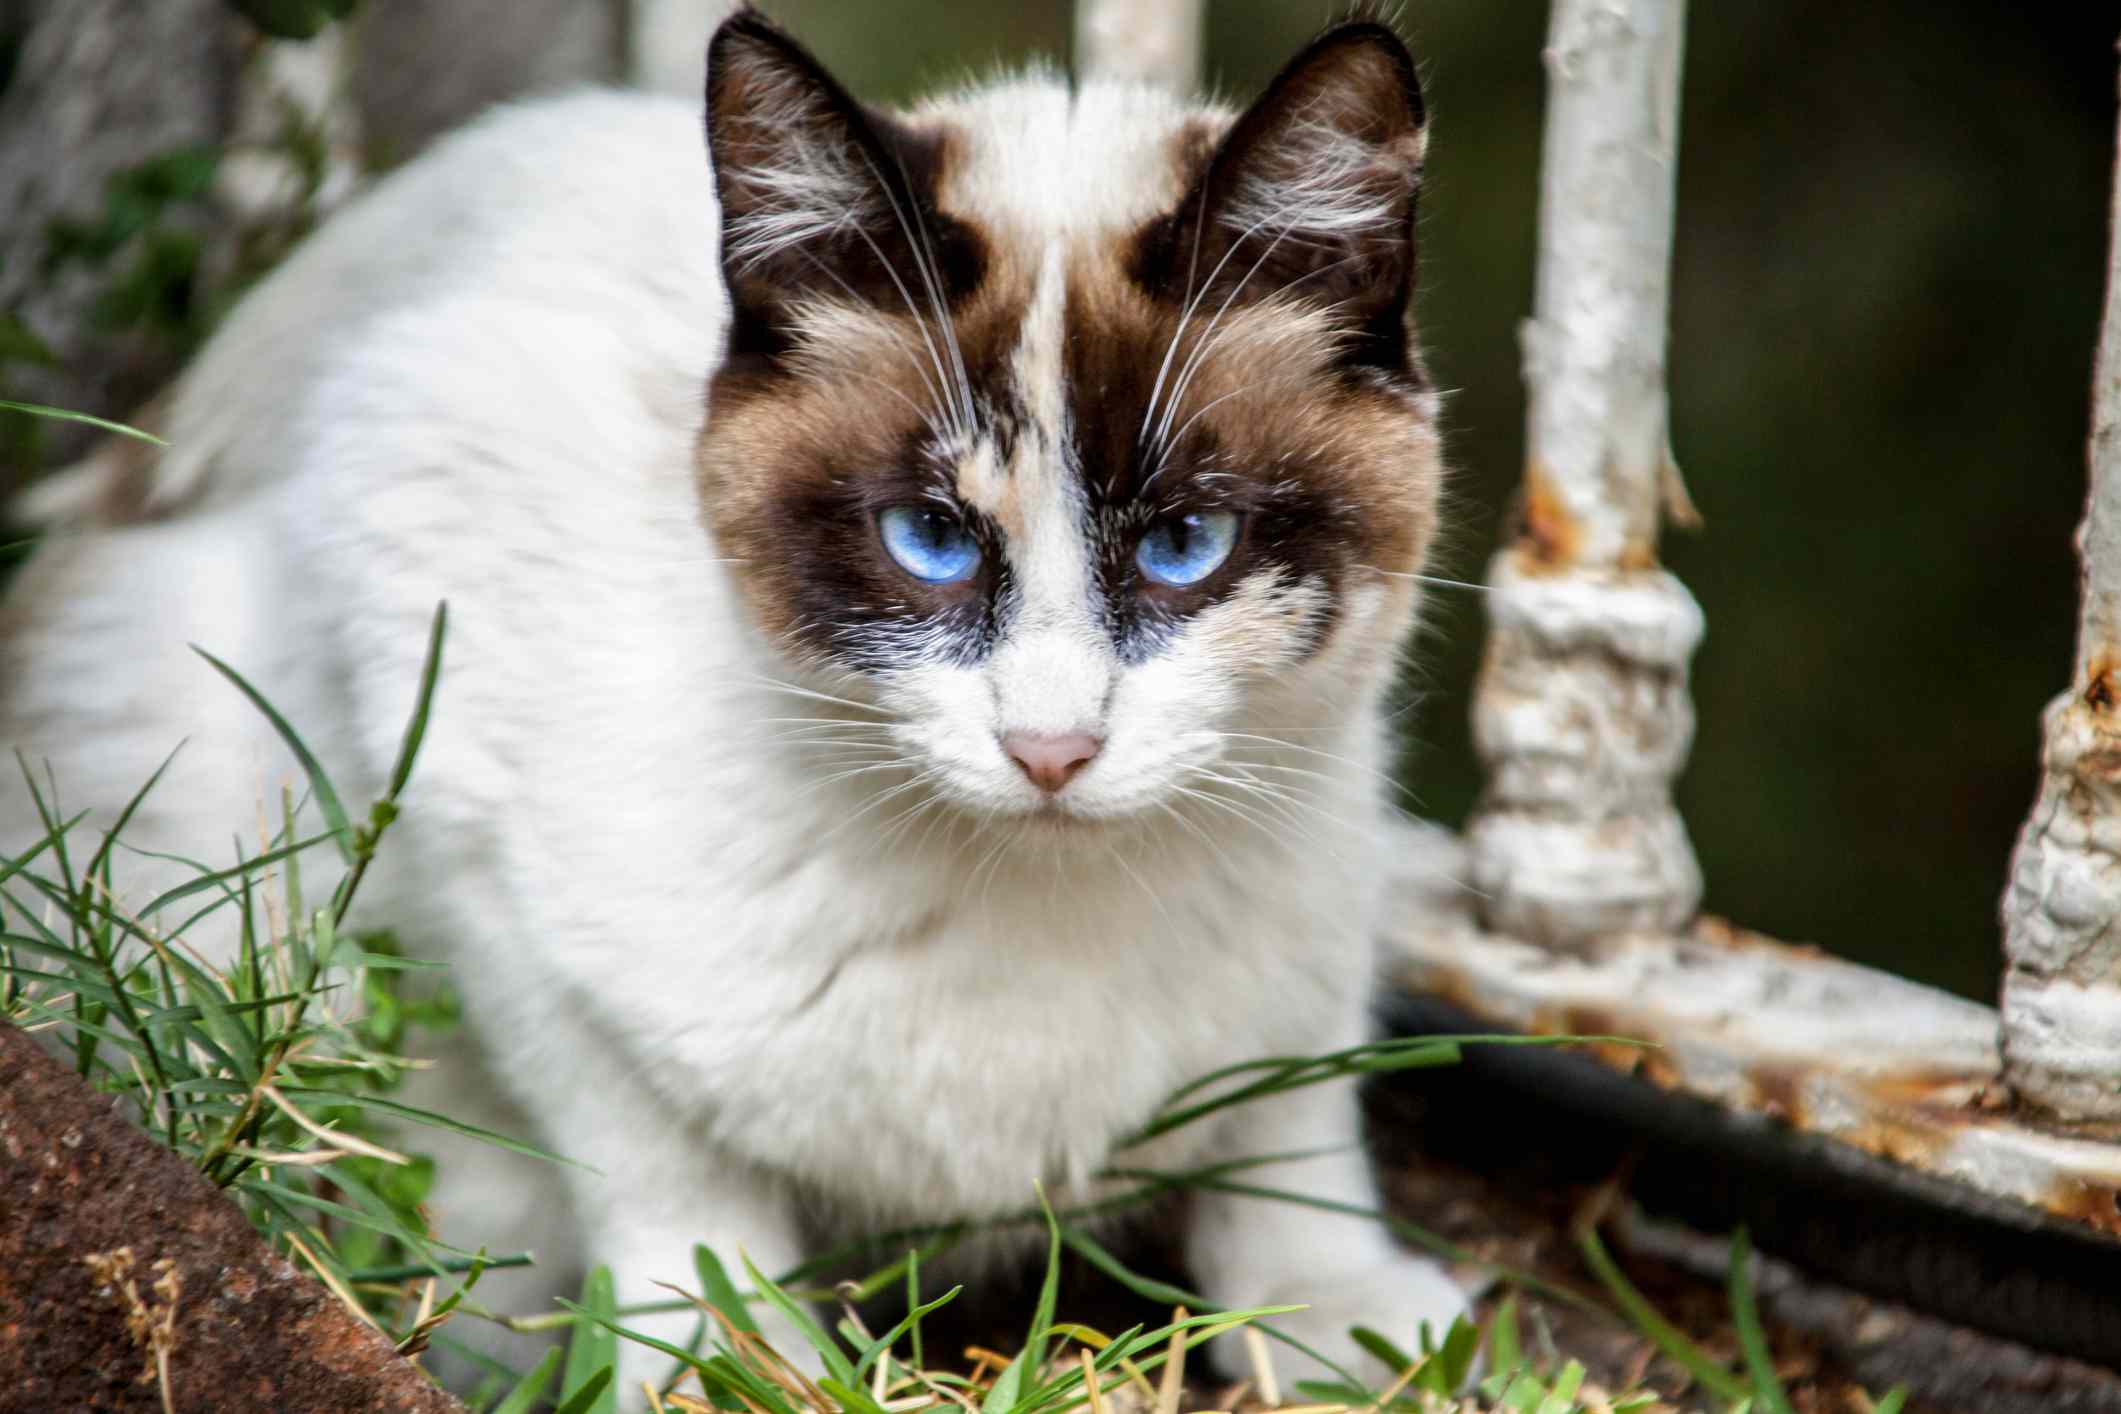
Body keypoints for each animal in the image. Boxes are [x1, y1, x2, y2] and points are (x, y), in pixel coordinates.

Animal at [0, 2, 1459, 1390]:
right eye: (927, 538)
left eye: (1184, 545)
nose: (1051, 749)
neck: (1034, 899)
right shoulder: (465, 804)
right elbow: (663, 1173)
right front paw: (737, 1365)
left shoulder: (1322, 915)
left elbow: (1294, 1135)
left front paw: (1342, 1319)